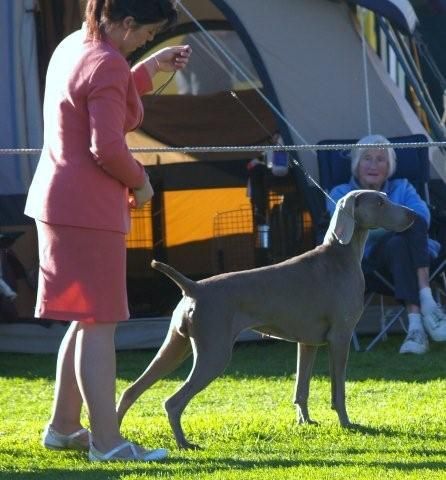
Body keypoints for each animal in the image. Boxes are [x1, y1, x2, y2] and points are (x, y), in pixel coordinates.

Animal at [117, 190, 415, 449]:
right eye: (379, 202)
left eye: (386, 198)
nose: (413, 214)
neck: (340, 256)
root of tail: (193, 287)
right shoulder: (340, 337)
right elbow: (338, 390)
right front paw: (346, 423)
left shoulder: (307, 343)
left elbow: (301, 388)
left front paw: (305, 421)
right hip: (214, 353)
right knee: (172, 401)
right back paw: (183, 443)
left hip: (175, 346)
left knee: (130, 390)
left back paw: (116, 441)